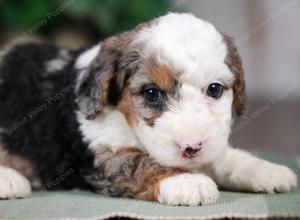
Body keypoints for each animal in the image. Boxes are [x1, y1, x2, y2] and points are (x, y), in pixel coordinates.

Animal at [0, 12, 296, 205]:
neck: (125, 118)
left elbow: (223, 156)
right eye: (151, 94)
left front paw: (265, 170)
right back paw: (10, 180)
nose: (191, 148)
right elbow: (139, 164)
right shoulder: (103, 154)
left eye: (215, 89)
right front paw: (188, 182)